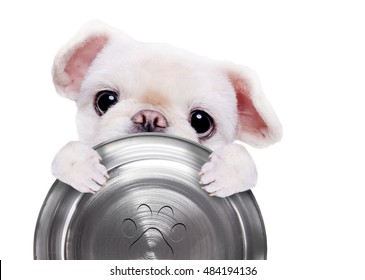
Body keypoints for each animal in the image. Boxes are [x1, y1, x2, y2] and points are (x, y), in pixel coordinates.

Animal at [51, 21, 282, 197]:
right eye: (106, 100)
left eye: (201, 122)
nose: (150, 117)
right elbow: (66, 153)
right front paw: (82, 166)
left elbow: (242, 158)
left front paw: (225, 170)